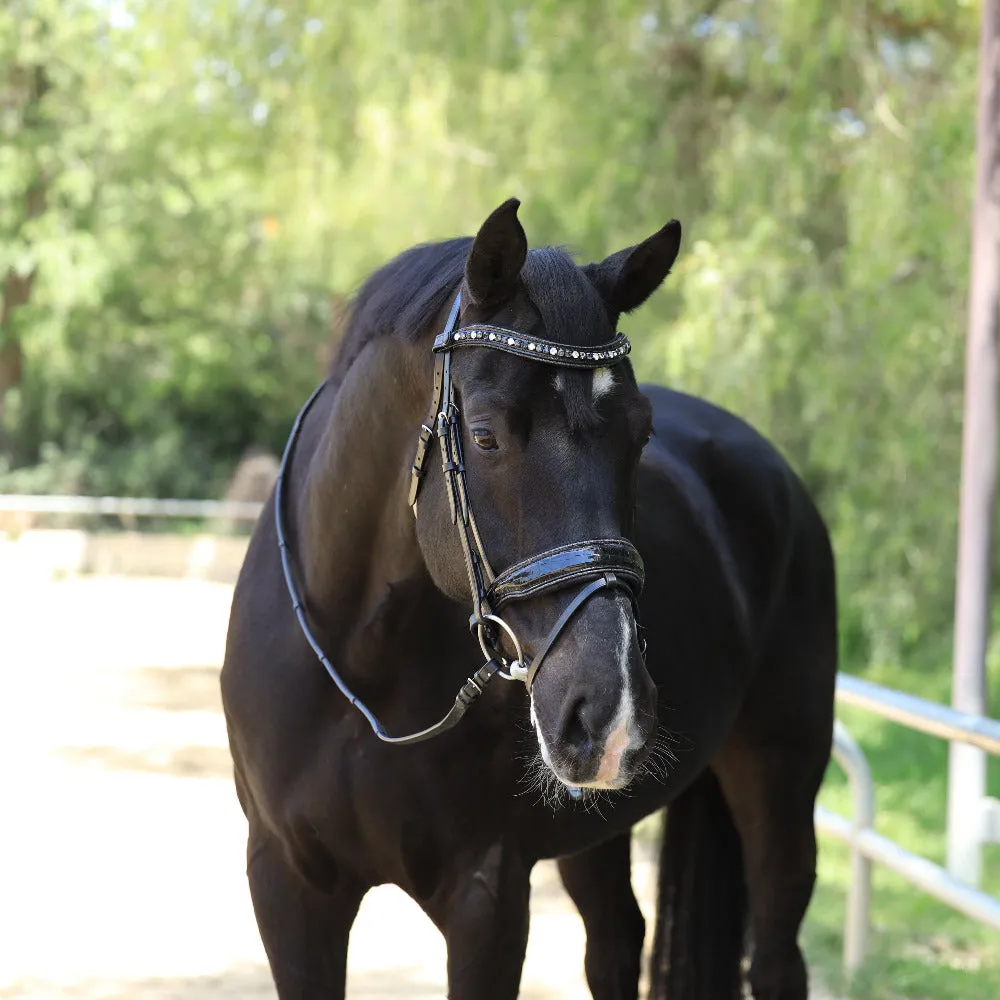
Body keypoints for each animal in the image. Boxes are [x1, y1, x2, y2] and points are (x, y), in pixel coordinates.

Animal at [221, 197, 836, 1000]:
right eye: (485, 436)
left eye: (641, 435)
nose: (610, 710)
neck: (362, 670)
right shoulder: (288, 886)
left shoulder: (488, 895)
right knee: (616, 941)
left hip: (780, 781)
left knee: (774, 958)